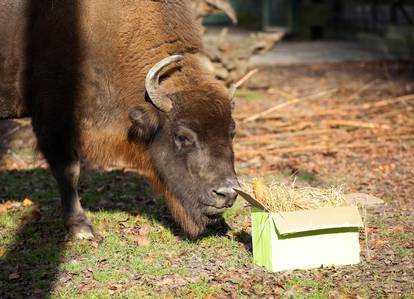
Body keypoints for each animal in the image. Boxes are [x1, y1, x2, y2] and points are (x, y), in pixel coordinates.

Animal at [0, 0, 238, 239]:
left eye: (232, 131)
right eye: (182, 136)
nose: (227, 193)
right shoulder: (54, 121)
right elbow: (69, 171)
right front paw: (81, 228)